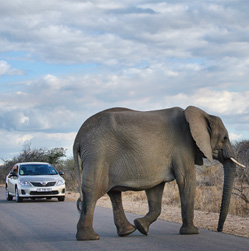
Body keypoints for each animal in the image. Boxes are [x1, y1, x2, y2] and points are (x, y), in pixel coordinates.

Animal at [73, 106, 243, 241]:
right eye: (225, 138)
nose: (219, 229)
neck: (202, 114)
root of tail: (78, 136)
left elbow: (155, 190)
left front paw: (141, 227)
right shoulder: (183, 146)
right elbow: (186, 180)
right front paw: (192, 232)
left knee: (113, 193)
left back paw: (127, 231)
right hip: (98, 152)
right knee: (94, 190)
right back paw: (90, 237)